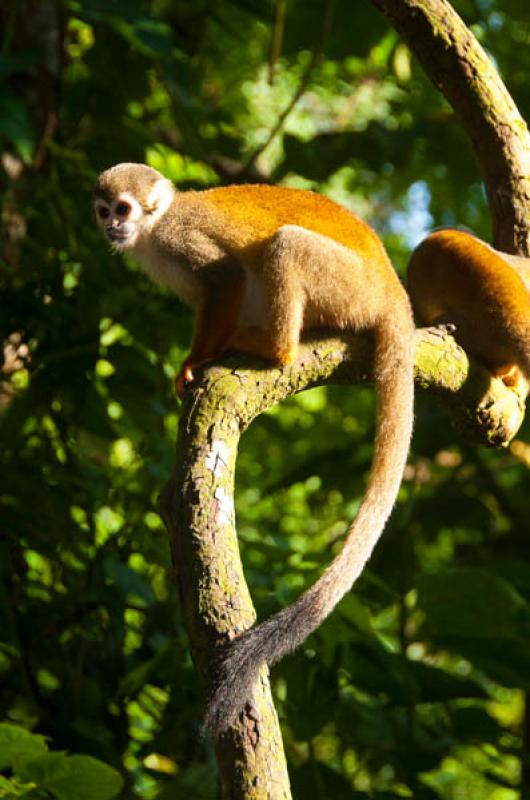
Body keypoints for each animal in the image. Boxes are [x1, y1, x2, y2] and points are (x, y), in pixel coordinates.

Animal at [96, 162, 416, 736]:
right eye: (103, 209)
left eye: (125, 209)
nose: (112, 226)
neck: (153, 232)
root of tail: (392, 289)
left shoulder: (182, 241)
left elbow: (225, 277)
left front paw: (193, 362)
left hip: (348, 287)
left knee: (284, 247)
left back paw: (273, 349)